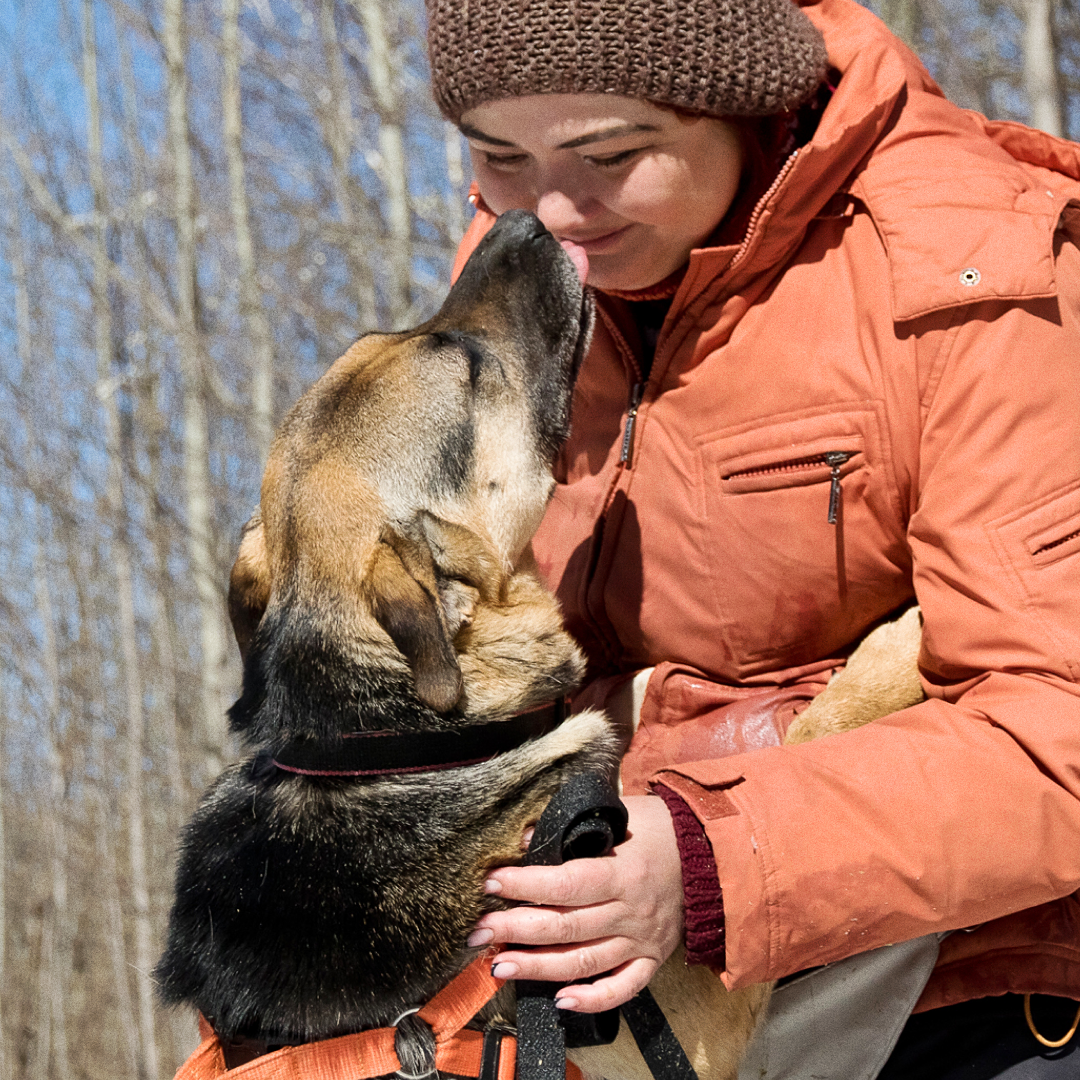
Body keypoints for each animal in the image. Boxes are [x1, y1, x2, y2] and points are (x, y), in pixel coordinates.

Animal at [156, 208, 924, 1080]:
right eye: (466, 364)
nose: (524, 220)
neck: (391, 743)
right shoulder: (686, 1013)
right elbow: (808, 732)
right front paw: (898, 648)